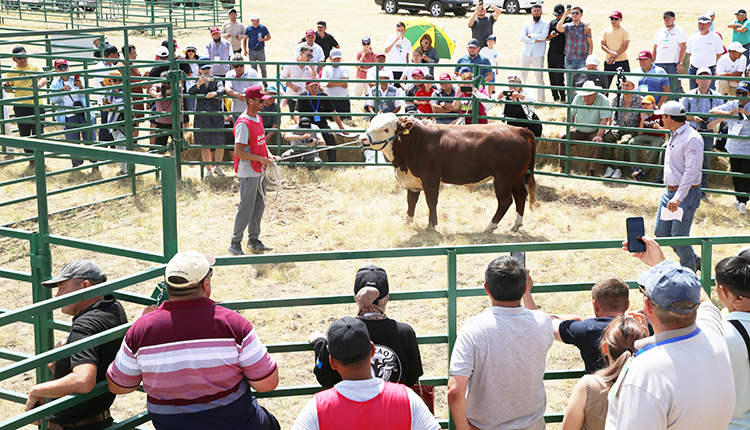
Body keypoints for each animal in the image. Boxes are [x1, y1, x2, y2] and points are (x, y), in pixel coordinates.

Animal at [362, 113, 536, 232]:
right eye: (371, 123)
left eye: (386, 129)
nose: (362, 138)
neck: (417, 141)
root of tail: (520, 130)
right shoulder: (412, 181)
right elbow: (411, 201)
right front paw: (408, 221)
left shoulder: (430, 179)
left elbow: (431, 201)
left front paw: (431, 225)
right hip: (517, 177)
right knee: (521, 195)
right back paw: (516, 224)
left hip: (503, 179)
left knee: (505, 201)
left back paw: (490, 226)